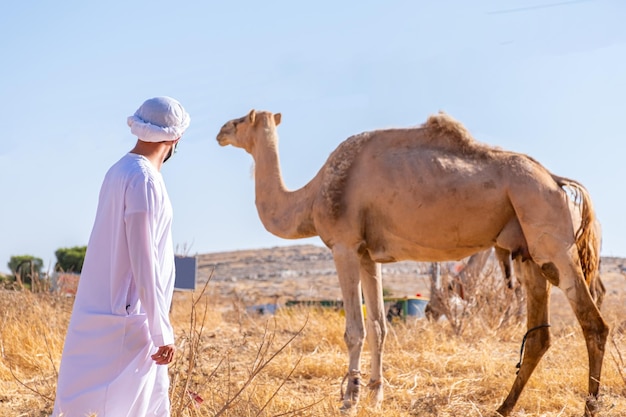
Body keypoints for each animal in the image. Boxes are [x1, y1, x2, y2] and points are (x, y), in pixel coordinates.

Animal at [217, 109, 608, 416]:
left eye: (241, 119)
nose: (220, 131)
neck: (311, 198)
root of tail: (557, 181)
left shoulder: (344, 246)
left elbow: (355, 330)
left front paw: (349, 399)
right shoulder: (367, 254)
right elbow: (379, 326)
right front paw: (375, 396)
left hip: (550, 234)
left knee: (594, 323)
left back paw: (589, 406)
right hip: (528, 248)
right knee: (540, 335)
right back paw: (503, 407)